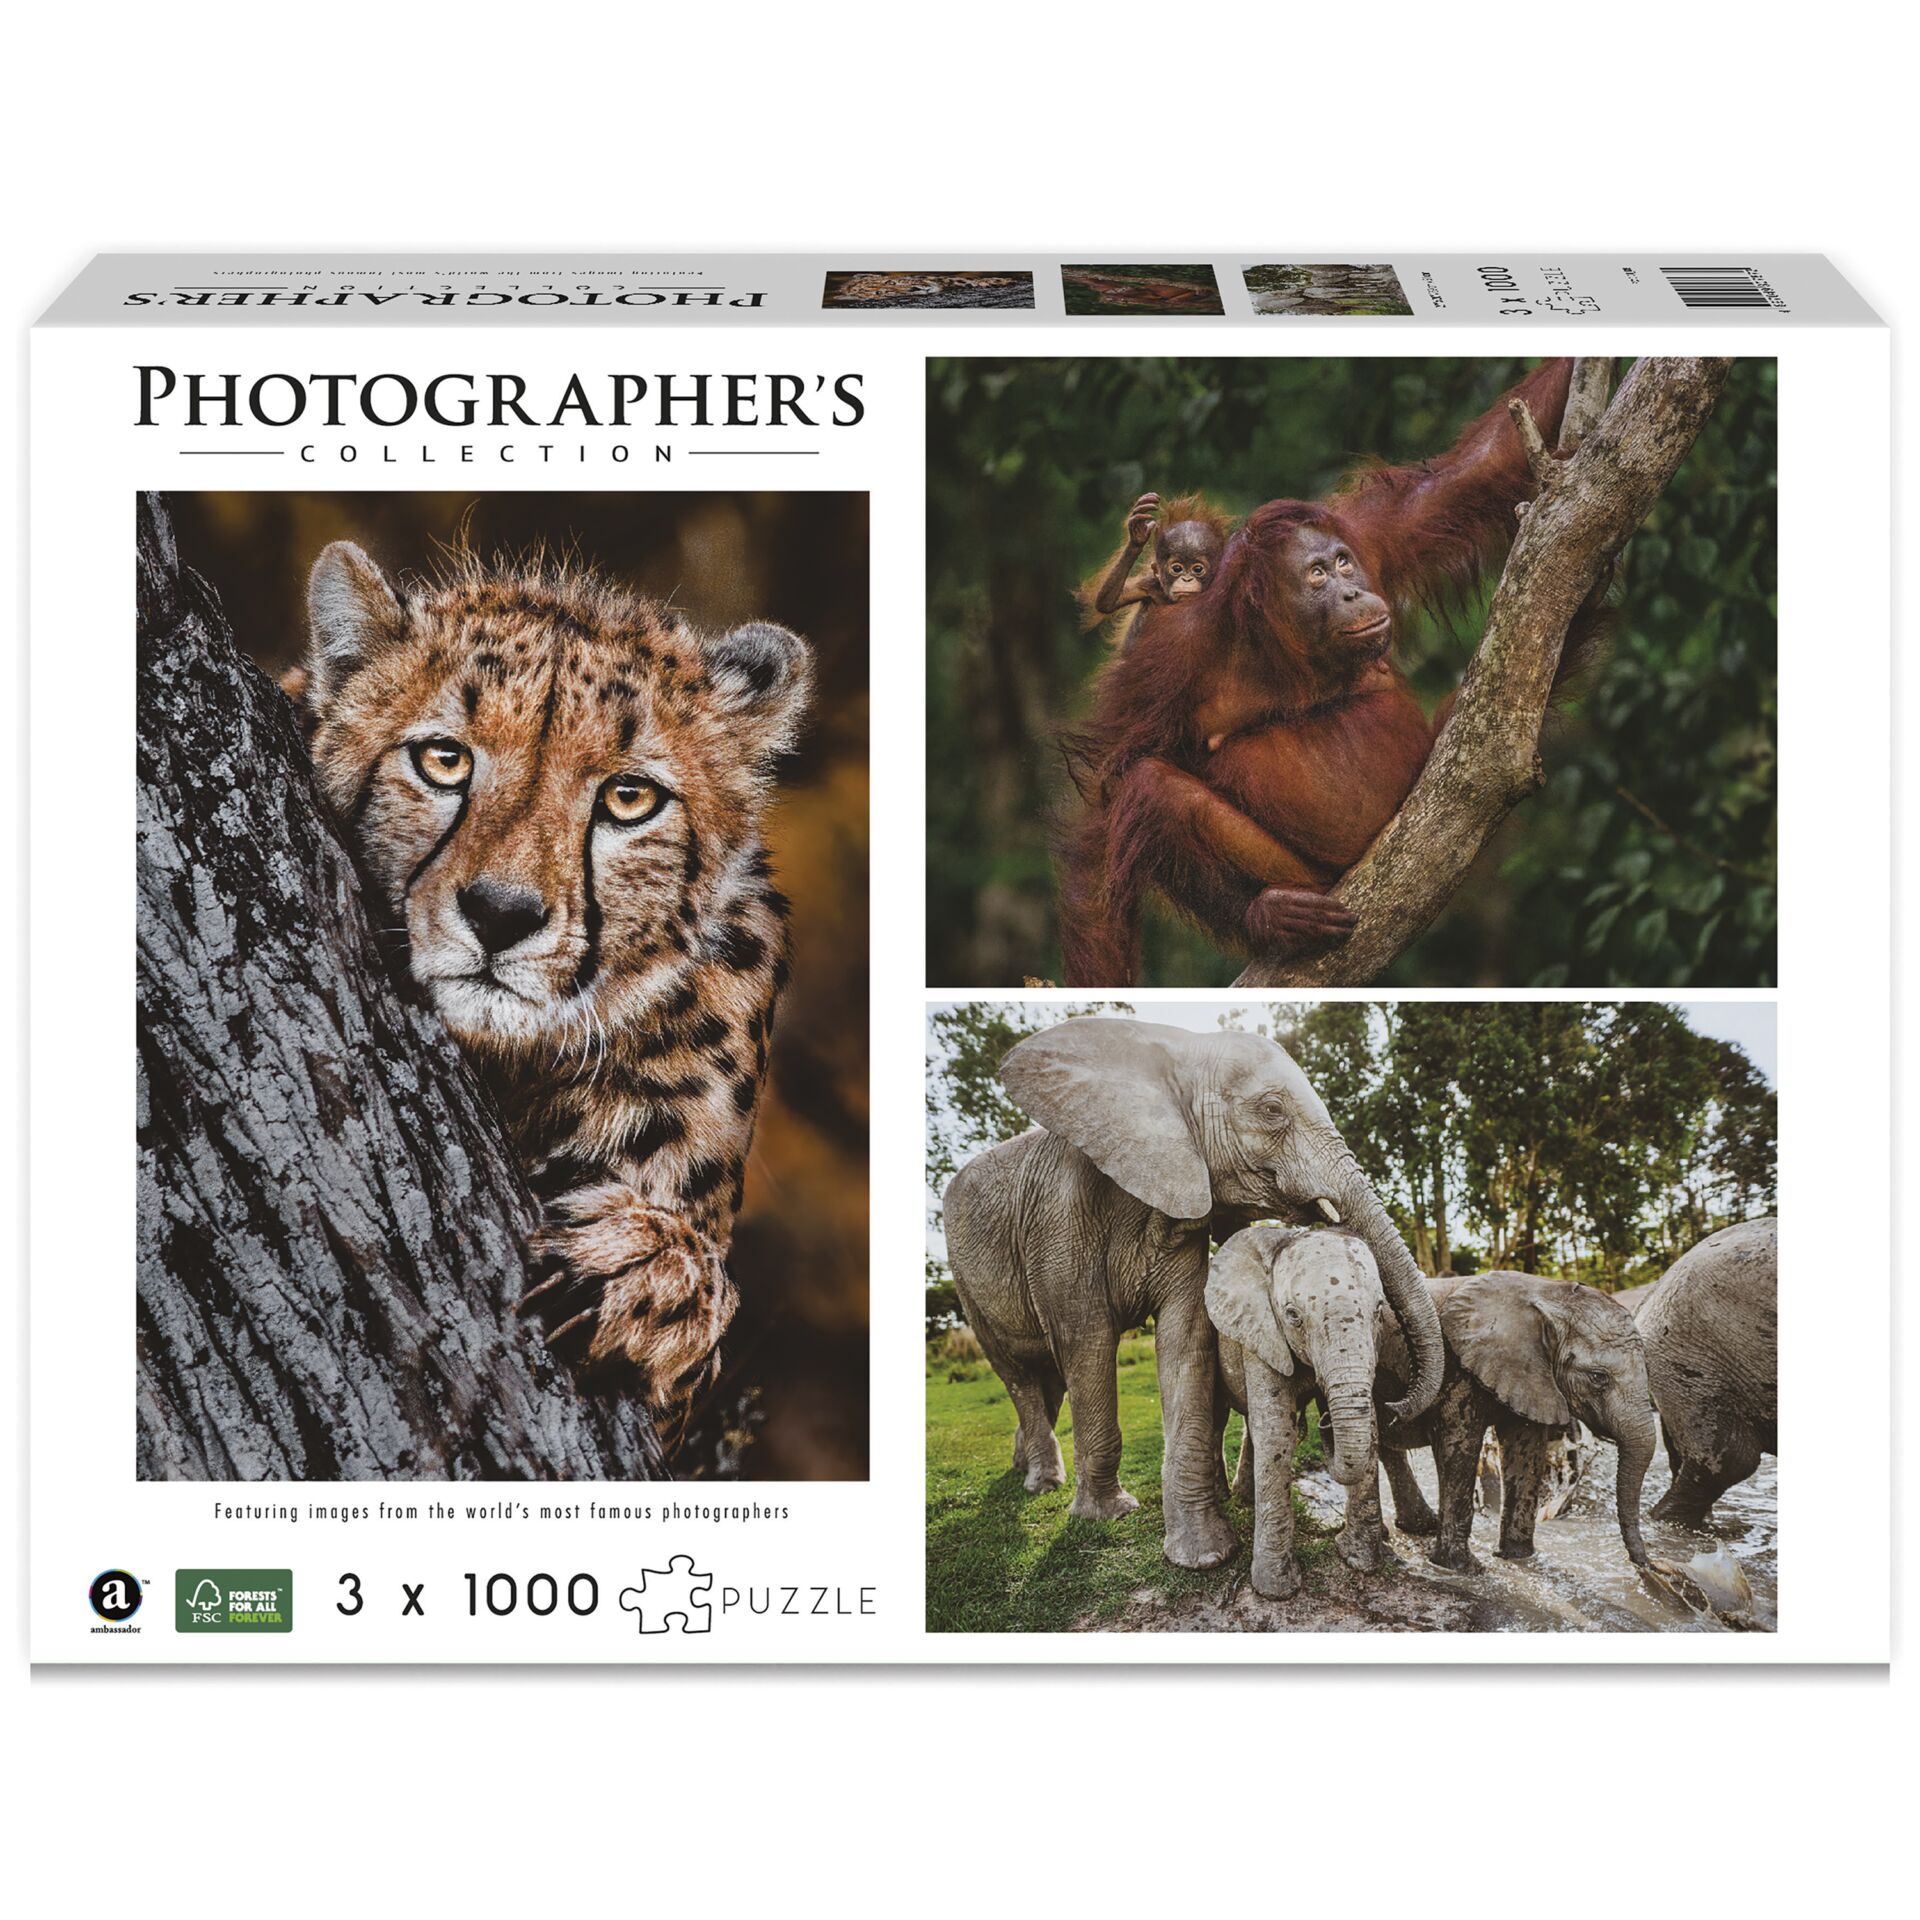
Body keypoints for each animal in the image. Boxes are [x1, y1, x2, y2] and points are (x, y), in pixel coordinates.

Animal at [1206, 1225, 1397, 1598]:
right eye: (1293, 1315)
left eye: (1379, 1310)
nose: (1323, 1420)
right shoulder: (1260, 1333)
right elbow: (1277, 1432)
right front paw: (1277, 1590)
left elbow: (1371, 1426)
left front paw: (1358, 1559)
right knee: (1219, 1419)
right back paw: (1224, 1496)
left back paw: (1244, 1498)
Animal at [1374, 1271, 1656, 1572]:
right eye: (1598, 1378)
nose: (1646, 1566)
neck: (1547, 1293)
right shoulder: (1457, 1369)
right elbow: (1459, 1447)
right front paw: (1463, 1568)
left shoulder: (1531, 1377)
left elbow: (1525, 1450)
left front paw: (1519, 1556)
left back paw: (1419, 1527)